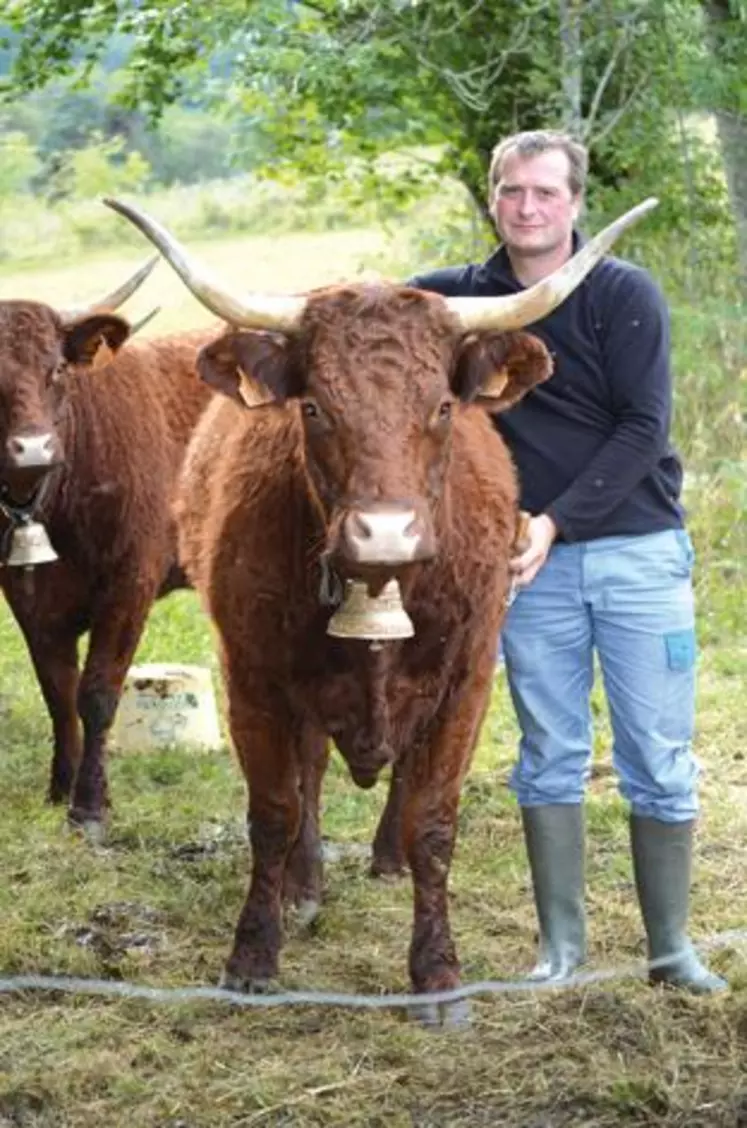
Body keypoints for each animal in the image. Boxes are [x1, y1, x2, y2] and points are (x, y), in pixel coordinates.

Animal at [0, 261, 216, 830]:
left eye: (57, 369)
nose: (33, 449)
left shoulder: (129, 583)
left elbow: (96, 694)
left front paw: (91, 805)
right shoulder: (28, 599)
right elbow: (57, 691)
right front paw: (60, 787)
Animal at [108, 196, 658, 1024]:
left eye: (442, 406)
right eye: (312, 405)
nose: (385, 534)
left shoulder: (467, 679)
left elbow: (434, 822)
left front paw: (437, 976)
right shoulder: (251, 677)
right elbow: (273, 810)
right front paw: (252, 956)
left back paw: (386, 858)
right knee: (307, 774)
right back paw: (305, 884)